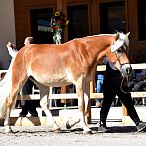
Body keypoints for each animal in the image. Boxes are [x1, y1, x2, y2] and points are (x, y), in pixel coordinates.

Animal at [0, 31, 132, 133]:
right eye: (119, 50)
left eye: (126, 49)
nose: (128, 69)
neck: (85, 52)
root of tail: (19, 52)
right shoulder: (79, 83)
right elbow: (81, 104)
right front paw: (86, 128)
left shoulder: (86, 83)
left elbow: (86, 105)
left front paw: (70, 124)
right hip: (18, 81)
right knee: (10, 100)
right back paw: (8, 128)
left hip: (42, 85)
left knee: (43, 104)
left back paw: (56, 127)